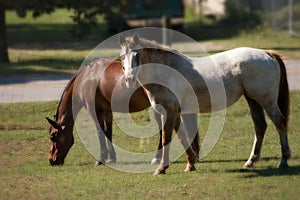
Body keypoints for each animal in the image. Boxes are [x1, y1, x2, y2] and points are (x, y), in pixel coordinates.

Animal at [46, 57, 199, 166]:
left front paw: (101, 159)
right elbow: (108, 132)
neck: (86, 77)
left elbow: (100, 133)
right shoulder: (107, 112)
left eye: (53, 136)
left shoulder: (94, 111)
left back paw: (157, 158)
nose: (52, 160)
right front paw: (112, 157)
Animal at [119, 33, 290, 175]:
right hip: (253, 100)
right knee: (260, 126)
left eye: (137, 55)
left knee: (279, 123)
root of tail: (266, 53)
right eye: (121, 57)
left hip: (267, 101)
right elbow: (182, 137)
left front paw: (161, 168)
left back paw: (283, 160)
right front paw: (190, 164)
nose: (129, 79)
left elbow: (166, 139)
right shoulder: (175, 113)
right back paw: (250, 161)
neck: (166, 72)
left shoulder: (169, 111)